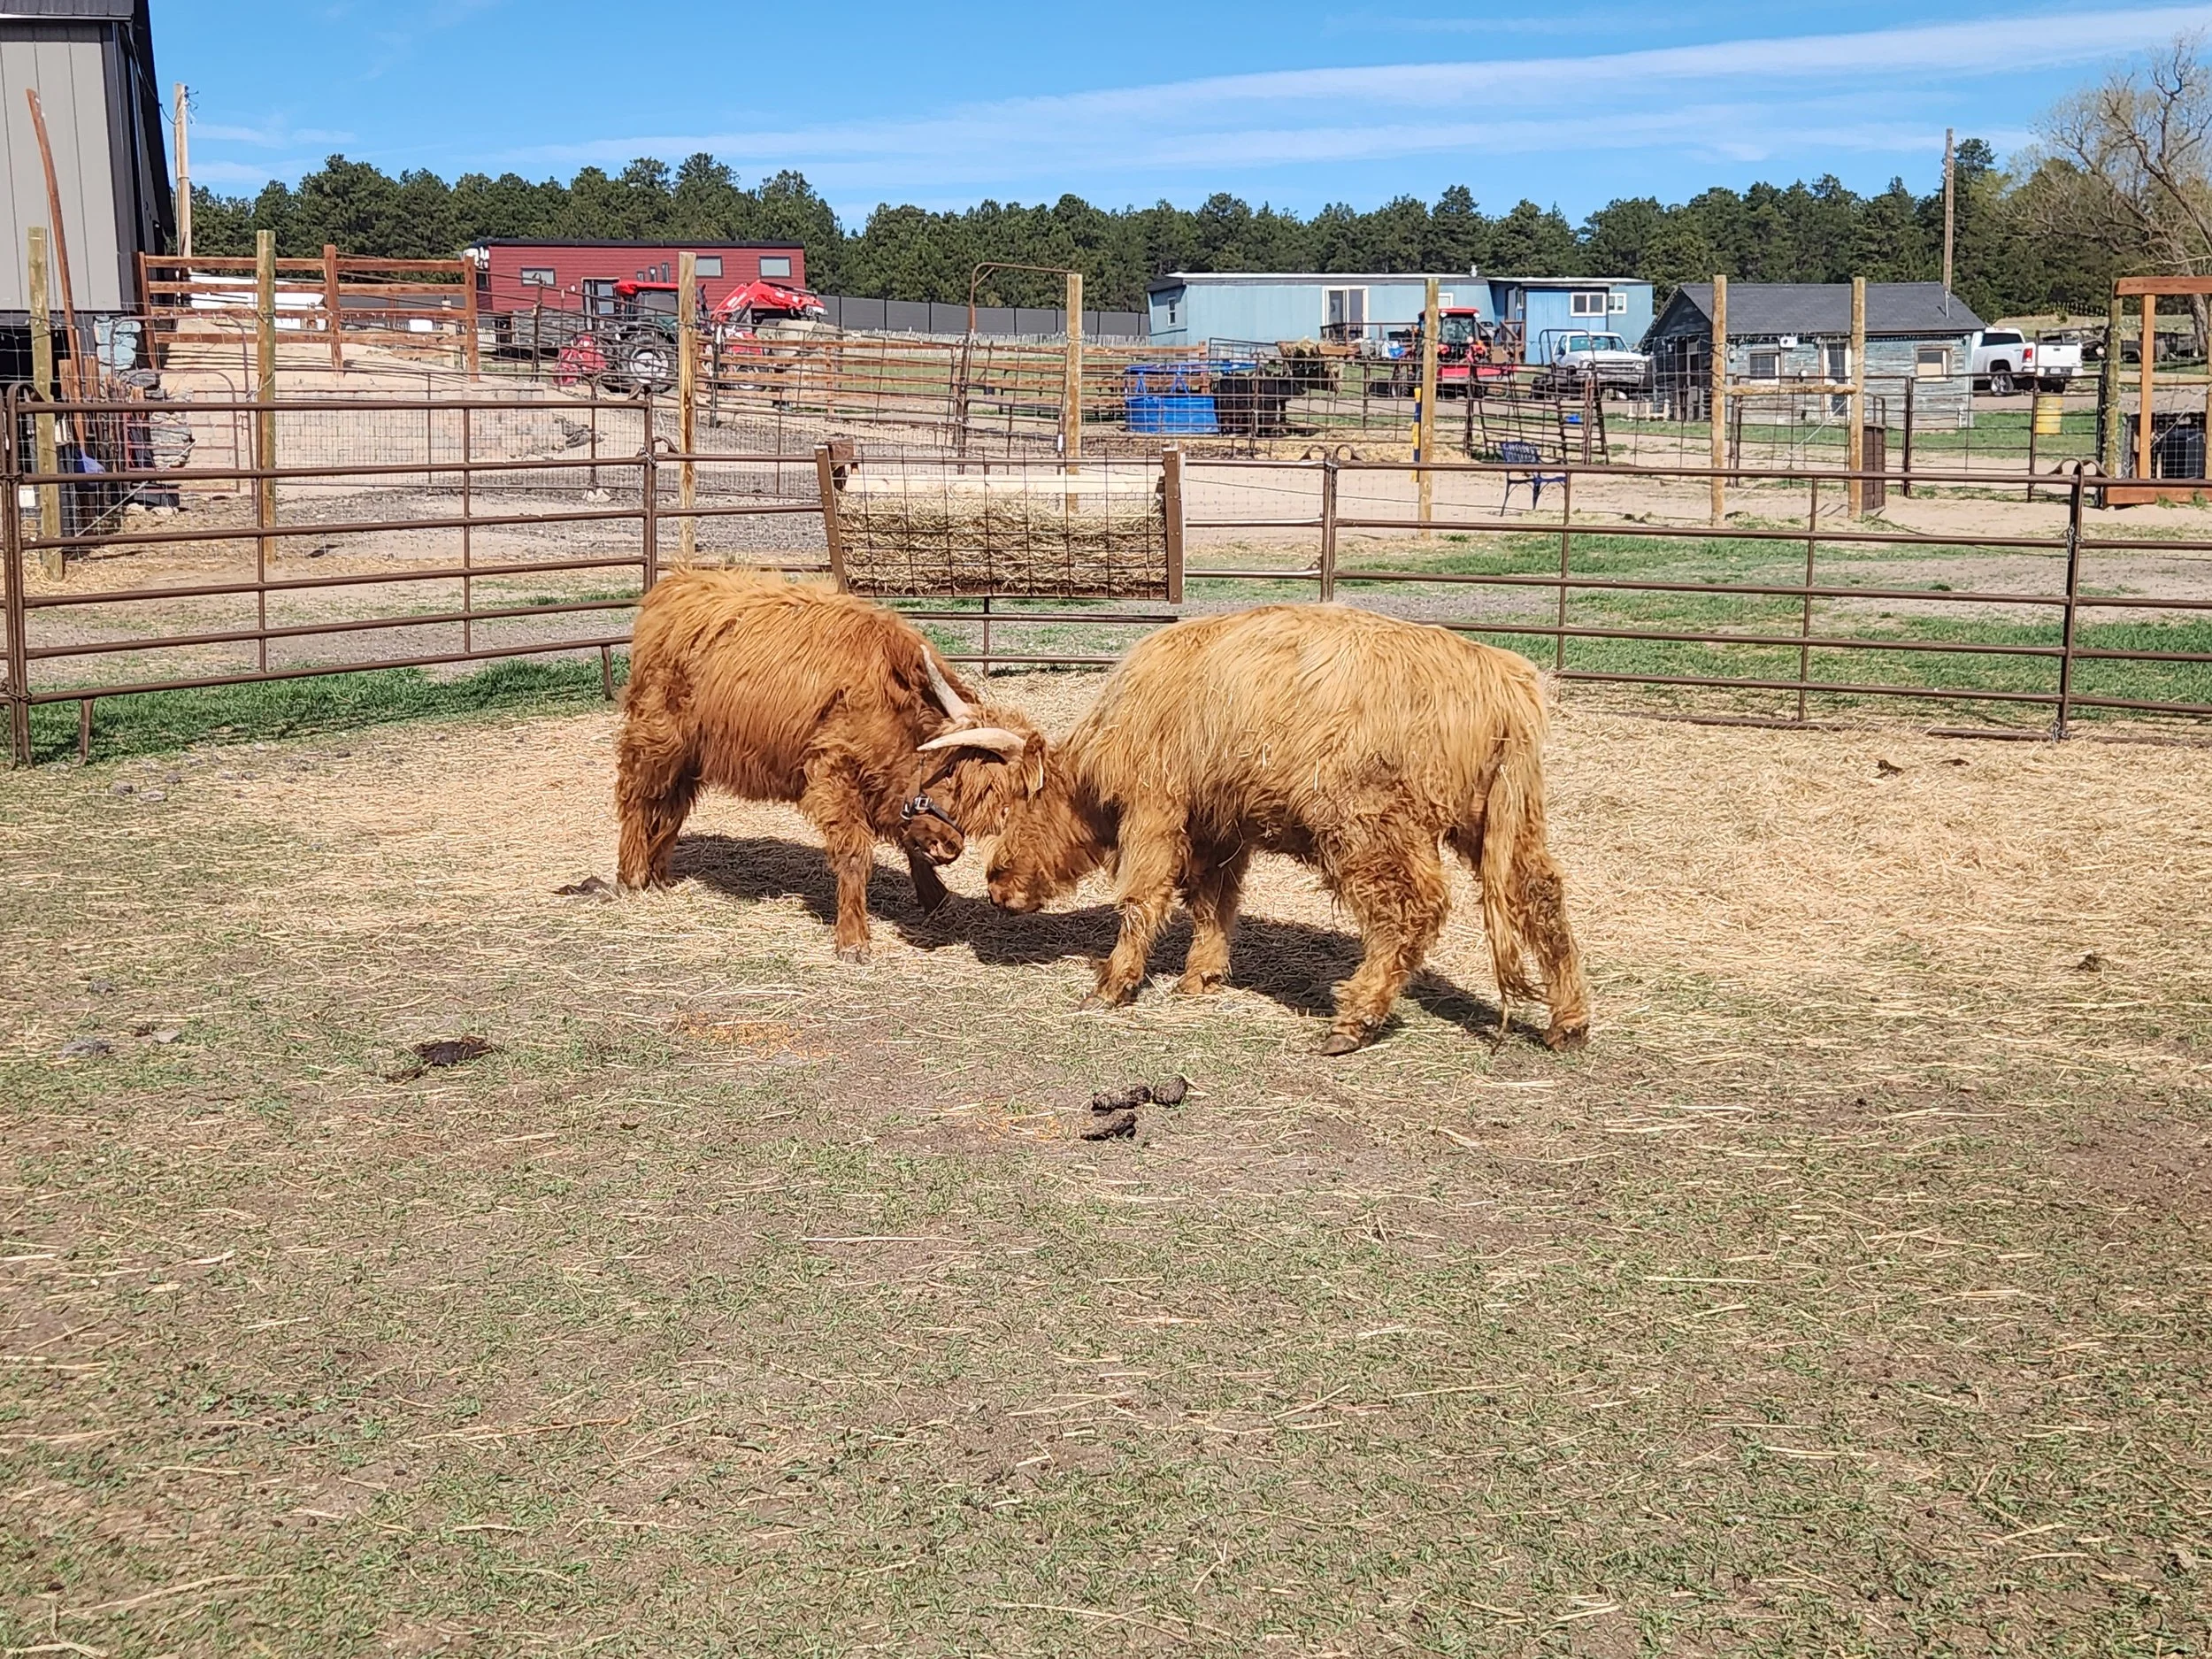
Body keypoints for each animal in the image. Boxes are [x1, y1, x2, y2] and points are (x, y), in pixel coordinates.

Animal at [616, 571, 1042, 961]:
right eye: (952, 775)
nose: (948, 848)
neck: (893, 706)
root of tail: (677, 582)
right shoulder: (835, 775)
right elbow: (854, 854)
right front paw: (853, 940)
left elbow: (908, 837)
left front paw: (935, 895)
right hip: (657, 735)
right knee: (637, 795)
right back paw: (632, 875)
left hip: (690, 754)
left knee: (672, 806)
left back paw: (659, 875)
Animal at [983, 603, 1590, 1053]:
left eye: (1014, 808)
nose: (993, 882)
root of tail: (1501, 678)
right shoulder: (1218, 830)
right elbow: (1213, 903)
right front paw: (1201, 977)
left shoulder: (1156, 809)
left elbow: (1143, 898)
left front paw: (1112, 986)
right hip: (1500, 821)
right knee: (1539, 893)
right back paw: (1569, 1023)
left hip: (1369, 826)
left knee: (1411, 909)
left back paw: (1353, 1021)